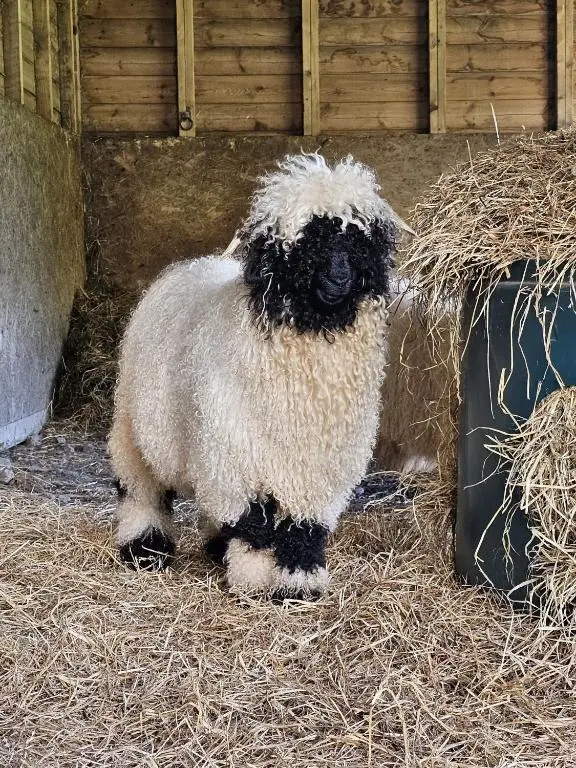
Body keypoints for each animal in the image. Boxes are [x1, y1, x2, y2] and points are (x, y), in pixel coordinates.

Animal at [109, 152, 408, 599]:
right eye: (307, 241)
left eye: (359, 240)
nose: (339, 276)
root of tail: (194, 264)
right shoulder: (237, 456)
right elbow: (255, 525)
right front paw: (253, 579)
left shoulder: (320, 464)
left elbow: (302, 529)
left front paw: (299, 582)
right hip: (137, 423)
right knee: (141, 487)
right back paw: (144, 546)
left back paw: (215, 548)